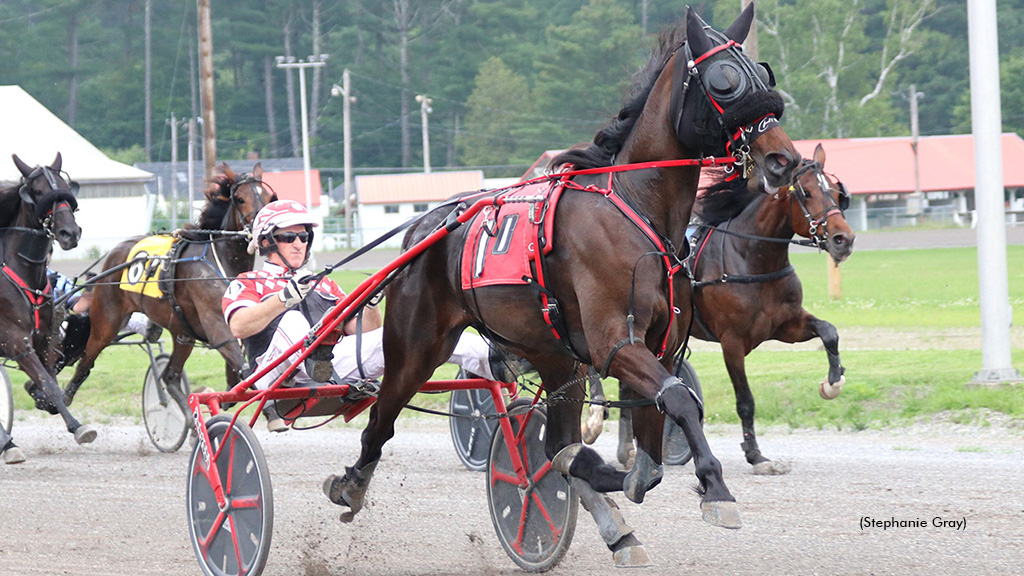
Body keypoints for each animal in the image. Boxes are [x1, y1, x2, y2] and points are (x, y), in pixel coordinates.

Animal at [0, 152, 86, 461]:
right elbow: (48, 383)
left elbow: (49, 384)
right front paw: (79, 427)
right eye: (36, 192)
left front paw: (43, 398)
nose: (69, 232)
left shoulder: (45, 338)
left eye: (66, 186)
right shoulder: (16, 340)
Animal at [61, 161, 274, 416]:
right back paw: (60, 399)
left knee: (170, 376)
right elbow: (244, 368)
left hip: (182, 332)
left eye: (269, 197)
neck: (220, 259)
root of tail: (115, 251)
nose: (264, 229)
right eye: (241, 199)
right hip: (107, 321)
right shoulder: (216, 324)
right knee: (86, 362)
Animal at [323, 6, 802, 565]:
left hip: (553, 356)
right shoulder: (615, 344)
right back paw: (351, 486)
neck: (635, 207)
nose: (782, 160)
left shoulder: (657, 346)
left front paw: (631, 478)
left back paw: (611, 520)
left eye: (763, 74)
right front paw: (716, 490)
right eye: (724, 80)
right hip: (417, 347)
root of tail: (426, 226)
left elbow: (653, 453)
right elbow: (678, 403)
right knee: (383, 416)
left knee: (556, 447)